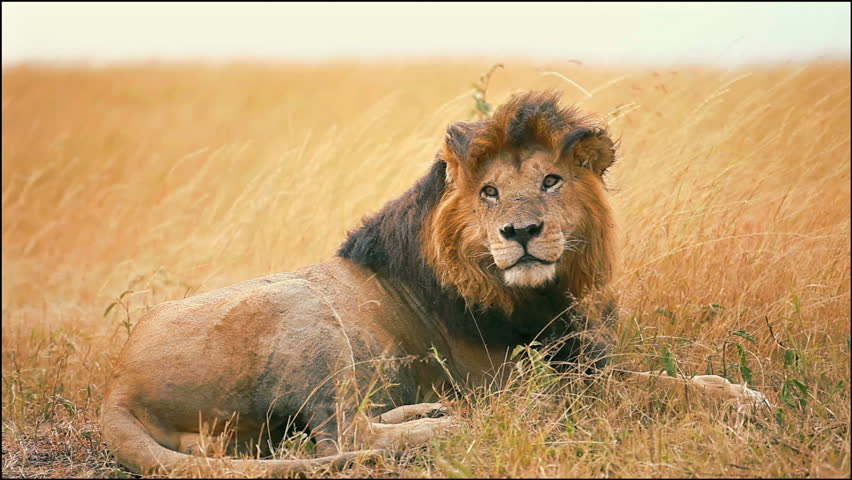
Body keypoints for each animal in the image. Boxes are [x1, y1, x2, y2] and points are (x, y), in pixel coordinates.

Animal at [100, 91, 764, 476]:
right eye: (489, 192)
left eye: (550, 181)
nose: (521, 232)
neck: (543, 290)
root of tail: (118, 381)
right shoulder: (544, 382)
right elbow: (657, 388)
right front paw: (739, 400)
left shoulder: (584, 358)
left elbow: (675, 378)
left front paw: (737, 390)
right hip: (302, 309)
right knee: (338, 437)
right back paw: (449, 425)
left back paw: (425, 411)